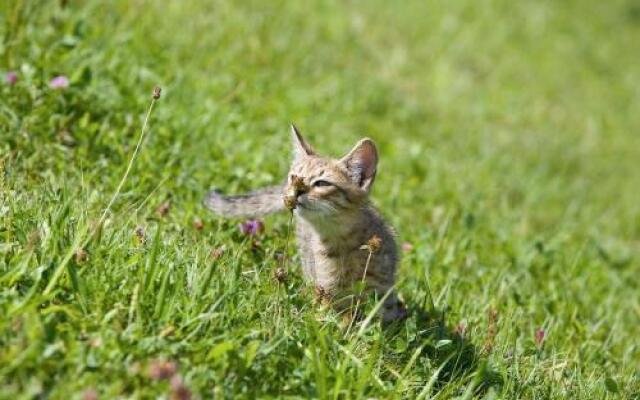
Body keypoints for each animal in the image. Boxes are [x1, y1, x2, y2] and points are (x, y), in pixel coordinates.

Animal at [205, 125, 404, 322]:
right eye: (293, 177)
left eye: (322, 183)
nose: (296, 191)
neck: (342, 242)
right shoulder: (328, 291)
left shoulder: (382, 292)